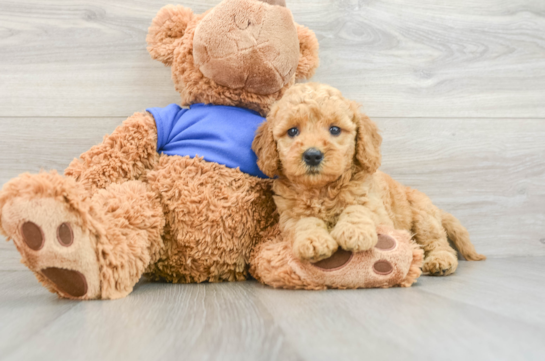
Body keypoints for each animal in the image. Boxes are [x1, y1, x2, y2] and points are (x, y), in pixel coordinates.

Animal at [253, 83, 486, 274]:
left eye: (334, 129)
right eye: (292, 131)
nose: (312, 155)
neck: (322, 190)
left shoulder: (378, 210)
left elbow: (358, 208)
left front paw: (354, 231)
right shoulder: (288, 217)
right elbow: (305, 221)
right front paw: (314, 240)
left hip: (423, 218)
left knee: (438, 242)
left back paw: (440, 261)